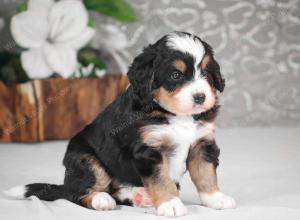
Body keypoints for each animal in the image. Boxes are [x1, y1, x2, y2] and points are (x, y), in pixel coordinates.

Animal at [4, 31, 234, 217]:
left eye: (206, 73)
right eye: (176, 75)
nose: (200, 97)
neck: (176, 115)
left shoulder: (202, 144)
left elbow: (206, 175)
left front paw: (216, 198)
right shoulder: (148, 150)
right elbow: (161, 180)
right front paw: (171, 204)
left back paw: (139, 196)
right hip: (84, 158)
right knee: (76, 193)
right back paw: (101, 199)